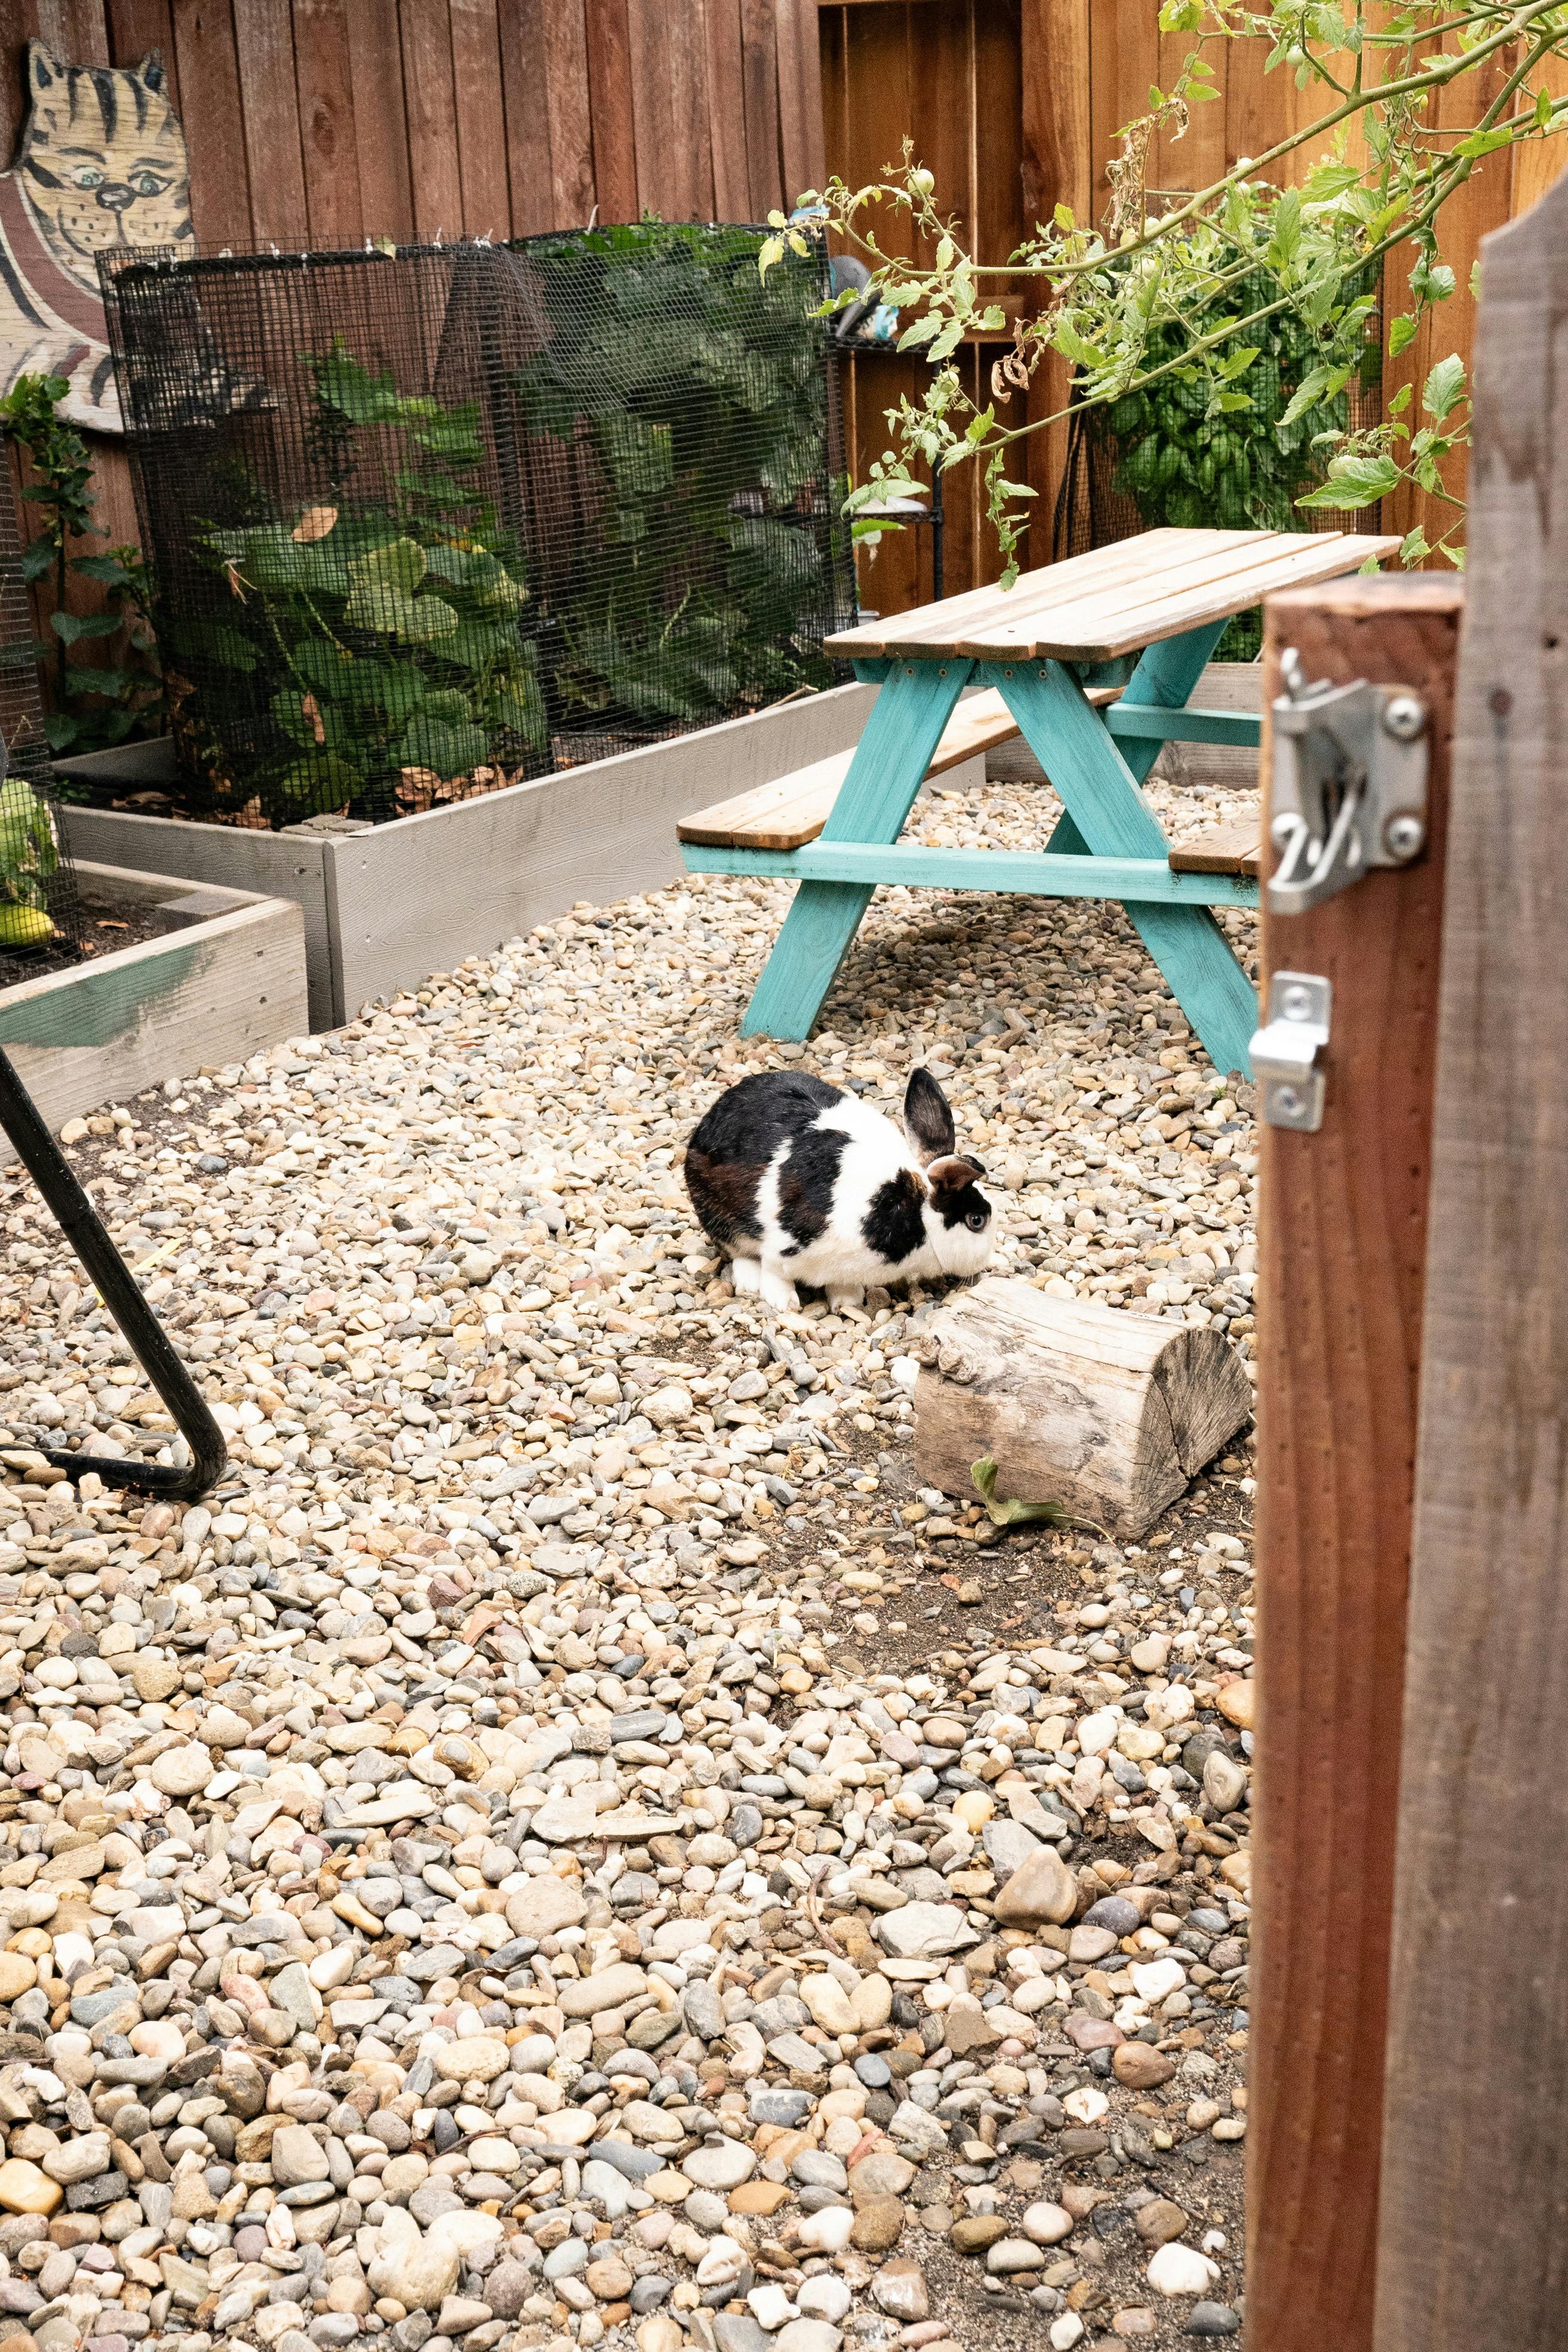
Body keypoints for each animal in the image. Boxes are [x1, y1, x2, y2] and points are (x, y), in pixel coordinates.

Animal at [685, 1064, 995, 1312]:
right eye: (977, 1221)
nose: (984, 1264)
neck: (907, 1207)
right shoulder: (780, 1246)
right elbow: (775, 1272)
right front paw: (784, 1304)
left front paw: (848, 1302)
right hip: (717, 1215)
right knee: (739, 1251)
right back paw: (750, 1282)